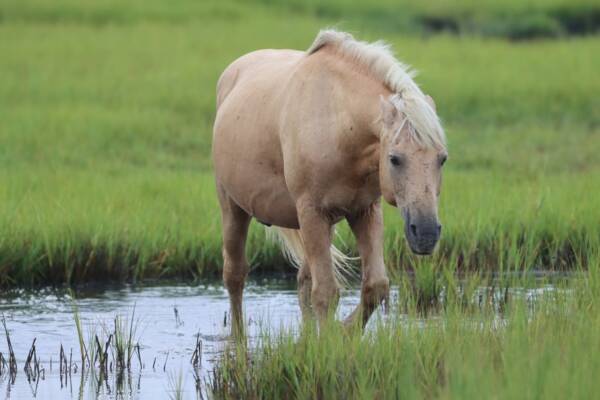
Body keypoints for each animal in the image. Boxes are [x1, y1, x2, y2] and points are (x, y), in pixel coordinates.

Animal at [213, 29, 448, 332]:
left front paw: (344, 332)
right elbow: (326, 292)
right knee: (235, 275)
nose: (427, 233)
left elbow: (375, 286)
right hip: (233, 207)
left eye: (442, 159)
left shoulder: (364, 212)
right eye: (395, 159)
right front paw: (331, 341)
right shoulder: (313, 213)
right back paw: (239, 339)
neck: (337, 124)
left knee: (303, 281)